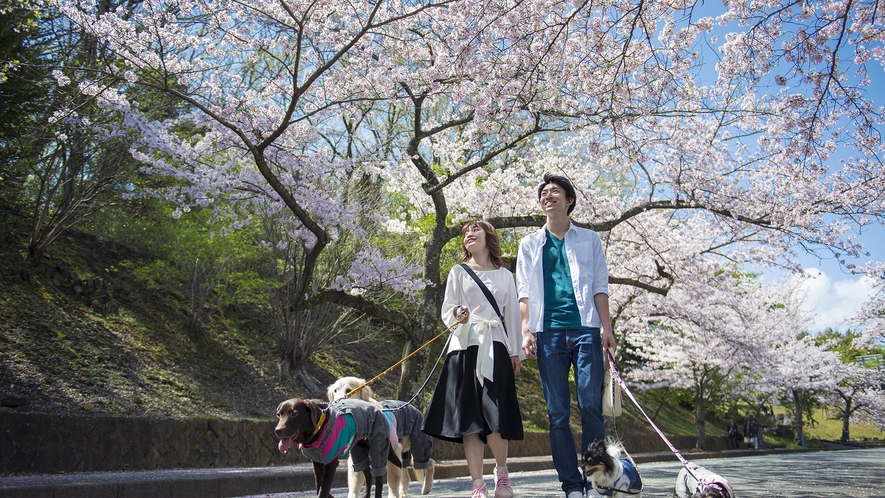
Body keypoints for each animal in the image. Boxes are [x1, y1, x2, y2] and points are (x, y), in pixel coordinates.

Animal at [274, 396, 402, 498]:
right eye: (279, 414)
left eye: (294, 413)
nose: (277, 430)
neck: (319, 428)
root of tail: (380, 410)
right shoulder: (316, 462)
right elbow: (318, 485)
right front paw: (329, 495)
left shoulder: (331, 464)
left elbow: (323, 489)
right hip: (358, 452)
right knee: (368, 473)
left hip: (378, 448)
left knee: (378, 477)